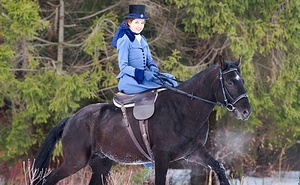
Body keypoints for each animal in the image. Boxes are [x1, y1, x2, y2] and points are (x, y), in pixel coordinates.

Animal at [31, 55, 251, 184]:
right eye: (230, 82)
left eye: (242, 80)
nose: (246, 111)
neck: (184, 109)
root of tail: (72, 119)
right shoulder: (162, 157)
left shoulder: (194, 152)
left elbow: (219, 168)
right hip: (75, 161)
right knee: (48, 180)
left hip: (101, 164)